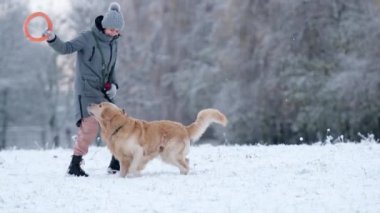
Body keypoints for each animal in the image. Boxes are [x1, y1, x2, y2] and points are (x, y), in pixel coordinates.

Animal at [87, 102, 227, 177]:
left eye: (100, 105)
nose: (89, 104)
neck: (118, 127)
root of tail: (183, 127)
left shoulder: (138, 151)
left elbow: (133, 167)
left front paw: (135, 174)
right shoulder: (122, 158)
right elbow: (123, 171)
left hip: (169, 153)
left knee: (185, 166)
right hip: (168, 154)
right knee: (186, 161)